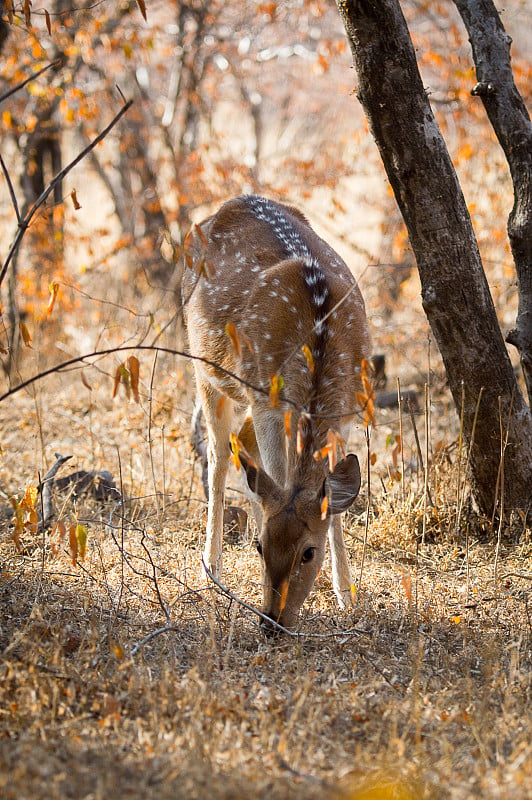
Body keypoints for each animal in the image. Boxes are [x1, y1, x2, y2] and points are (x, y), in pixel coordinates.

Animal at [183, 194, 370, 632]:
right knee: (219, 455)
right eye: (259, 547)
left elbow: (331, 498)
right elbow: (282, 478)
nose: (272, 620)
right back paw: (210, 569)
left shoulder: (346, 413)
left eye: (309, 552)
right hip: (208, 370)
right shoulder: (267, 400)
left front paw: (347, 594)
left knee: (242, 447)